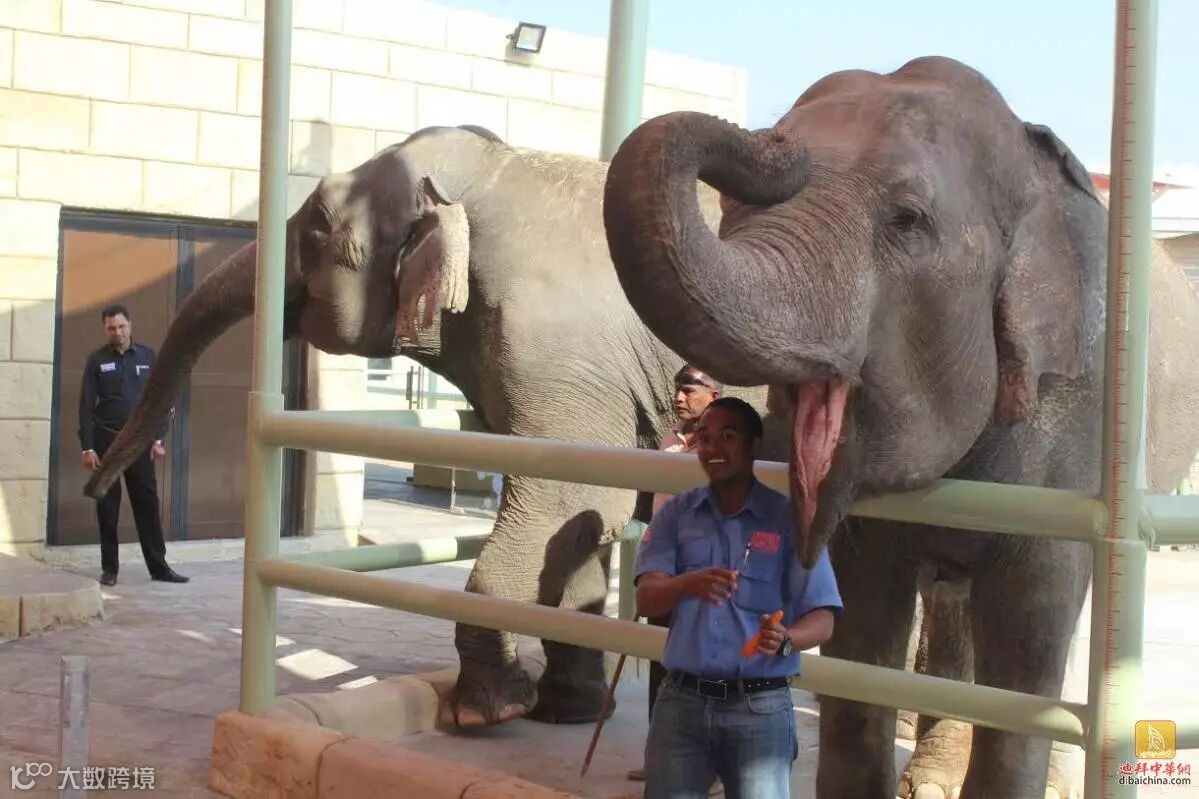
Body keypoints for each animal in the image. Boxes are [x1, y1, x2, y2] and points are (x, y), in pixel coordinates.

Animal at [81, 123, 783, 728]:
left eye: (318, 224)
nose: (92, 485)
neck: (492, 174)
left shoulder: (554, 347)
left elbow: (566, 497)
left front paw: (485, 713)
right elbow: (588, 519)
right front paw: (568, 711)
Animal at [601, 54, 1199, 799]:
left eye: (907, 220)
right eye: (733, 211)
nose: (773, 139)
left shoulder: (1080, 410)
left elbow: (1029, 628)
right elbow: (861, 619)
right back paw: (930, 775)